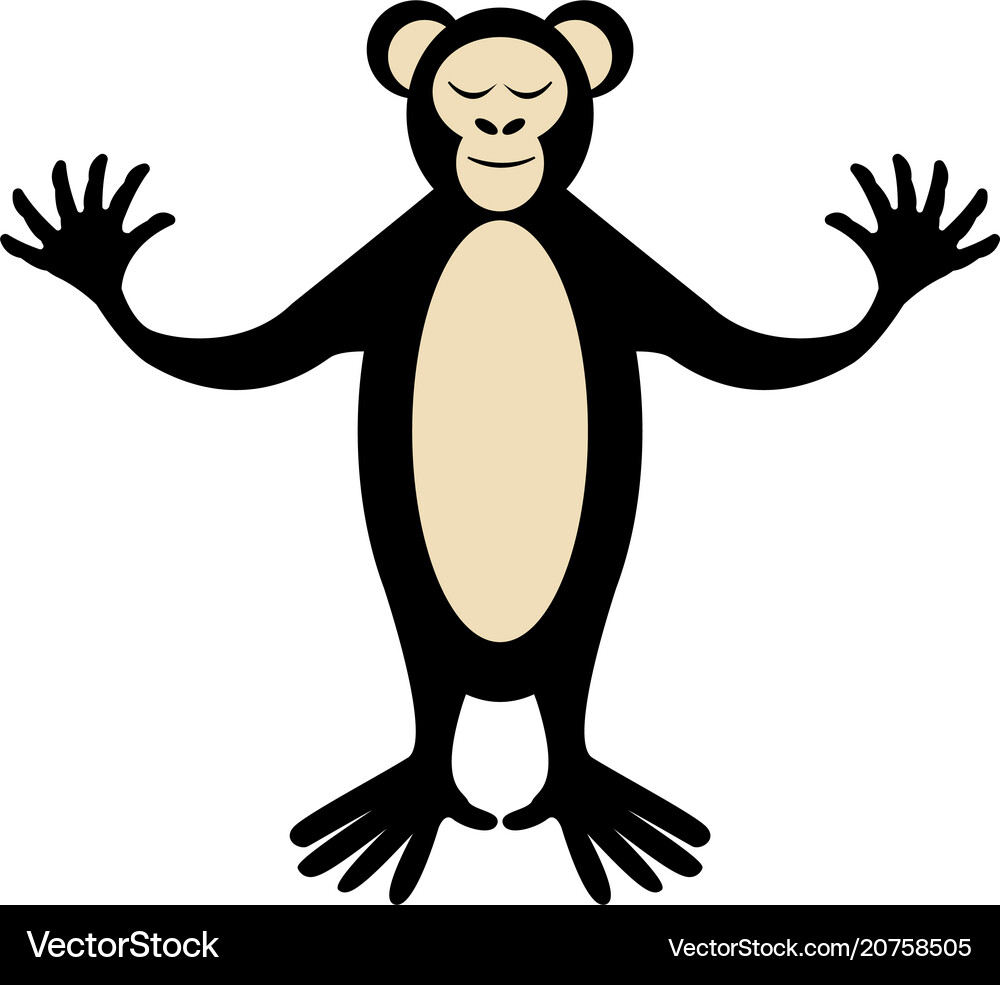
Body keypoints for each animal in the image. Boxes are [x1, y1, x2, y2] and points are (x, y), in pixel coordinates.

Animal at [3, 2, 996, 905]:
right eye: (467, 90)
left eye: (532, 90)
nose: (500, 125)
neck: (500, 220)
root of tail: (500, 685)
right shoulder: (391, 266)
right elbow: (249, 355)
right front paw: (92, 260)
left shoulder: (608, 266)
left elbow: (751, 355)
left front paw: (907, 260)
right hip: (423, 602)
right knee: (436, 686)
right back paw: (424, 798)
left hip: (576, 601)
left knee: (564, 687)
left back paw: (576, 798)